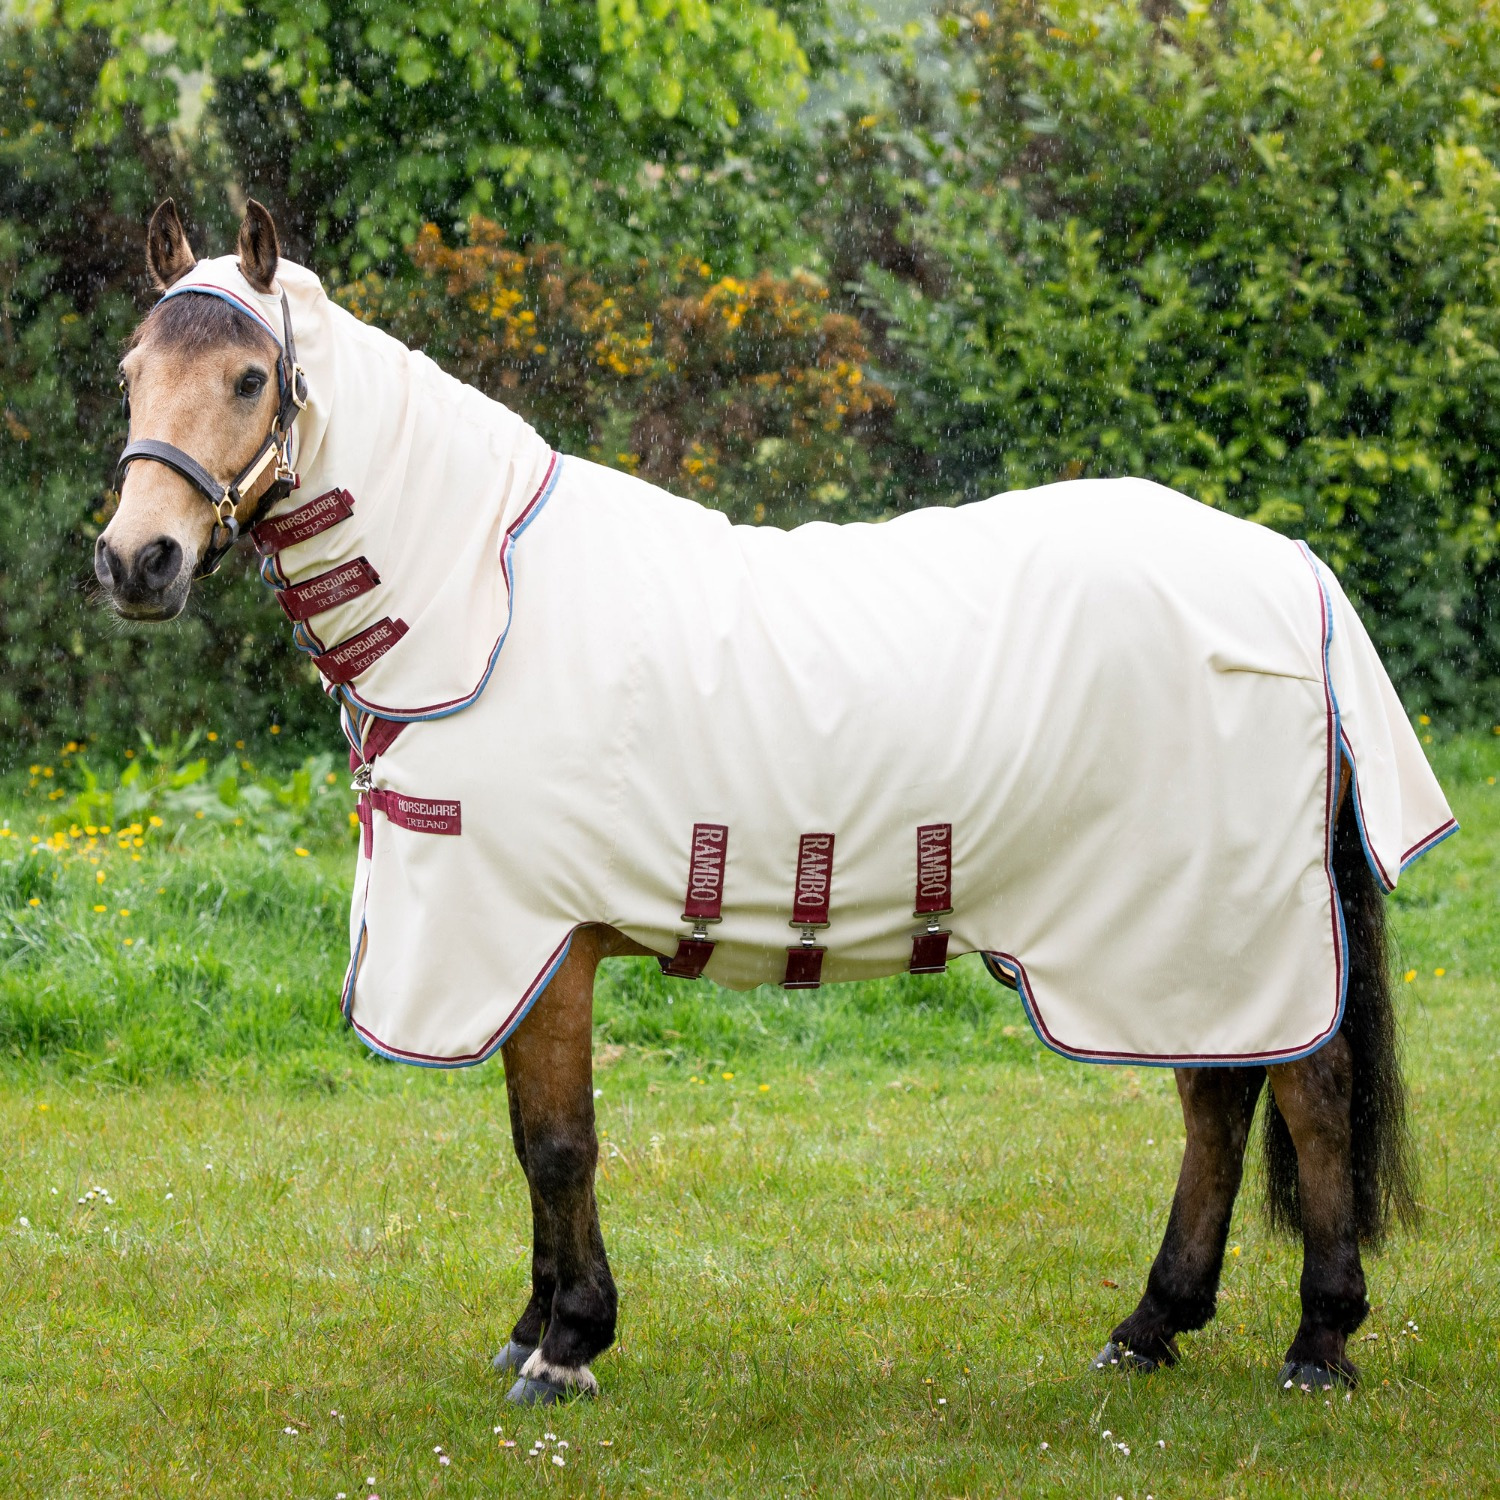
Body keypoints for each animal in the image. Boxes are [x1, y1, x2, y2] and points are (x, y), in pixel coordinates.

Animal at [94, 199, 1454, 1407]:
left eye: (251, 378)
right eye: (131, 371)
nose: (135, 561)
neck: (486, 607)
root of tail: (1292, 569)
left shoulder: (541, 939)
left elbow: (559, 1143)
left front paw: (568, 1345)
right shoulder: (517, 950)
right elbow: (531, 1145)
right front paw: (535, 1323)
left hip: (1221, 913)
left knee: (1308, 1092)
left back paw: (1319, 1341)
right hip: (1170, 929)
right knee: (1220, 1095)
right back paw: (1153, 1325)